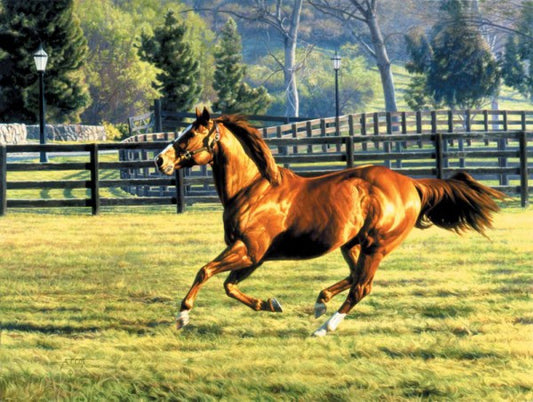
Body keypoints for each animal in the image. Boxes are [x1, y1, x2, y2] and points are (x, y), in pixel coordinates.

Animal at [154, 107, 502, 336]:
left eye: (191, 134)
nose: (160, 160)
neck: (253, 188)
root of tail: (411, 184)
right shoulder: (254, 256)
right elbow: (229, 285)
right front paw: (271, 304)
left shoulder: (249, 250)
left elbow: (205, 271)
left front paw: (182, 316)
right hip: (352, 244)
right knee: (355, 276)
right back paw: (321, 302)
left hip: (376, 245)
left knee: (362, 286)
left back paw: (324, 326)